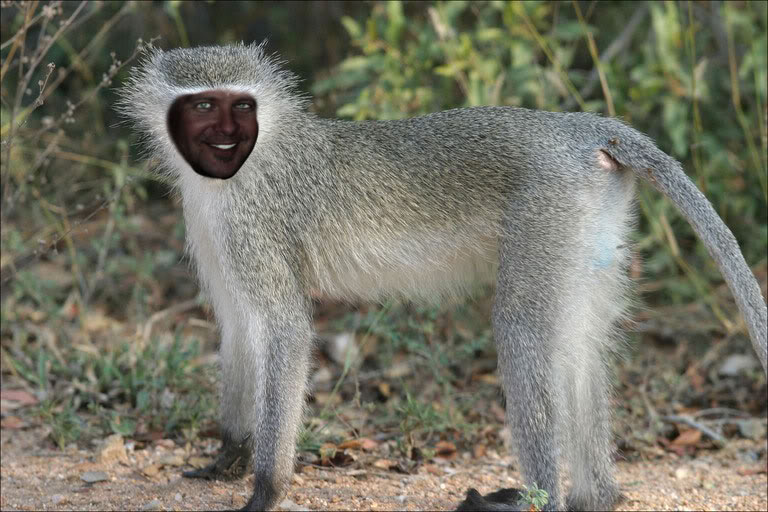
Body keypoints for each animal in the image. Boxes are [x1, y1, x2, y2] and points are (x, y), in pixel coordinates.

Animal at [118, 42, 767, 511]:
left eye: (242, 105)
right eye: (204, 105)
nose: (227, 139)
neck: (248, 162)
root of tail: (582, 130)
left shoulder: (251, 223)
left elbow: (283, 330)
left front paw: (265, 490)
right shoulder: (213, 224)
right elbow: (237, 327)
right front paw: (227, 455)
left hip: (550, 207)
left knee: (524, 329)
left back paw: (539, 499)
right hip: (591, 221)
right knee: (579, 340)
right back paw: (597, 497)